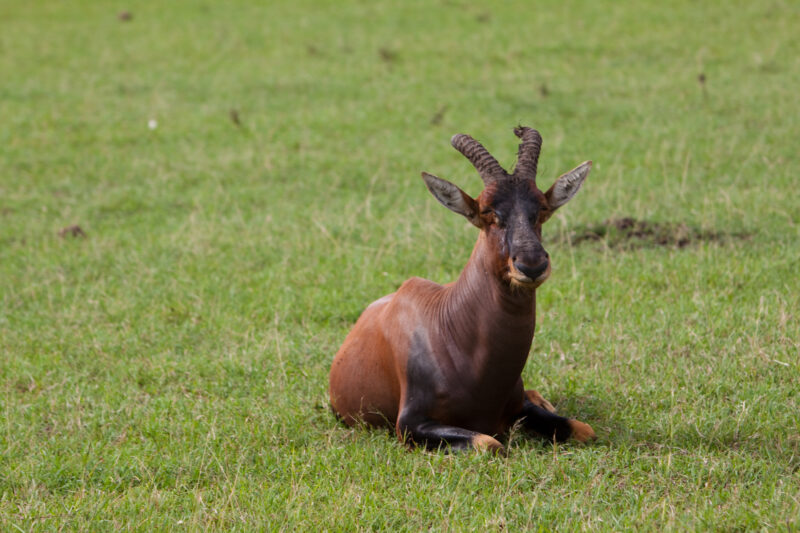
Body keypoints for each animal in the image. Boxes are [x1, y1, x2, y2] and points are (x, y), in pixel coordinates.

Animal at [329, 127, 596, 453]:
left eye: (542, 209)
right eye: (487, 210)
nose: (532, 265)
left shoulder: (520, 408)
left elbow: (584, 429)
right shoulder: (409, 425)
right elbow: (491, 444)